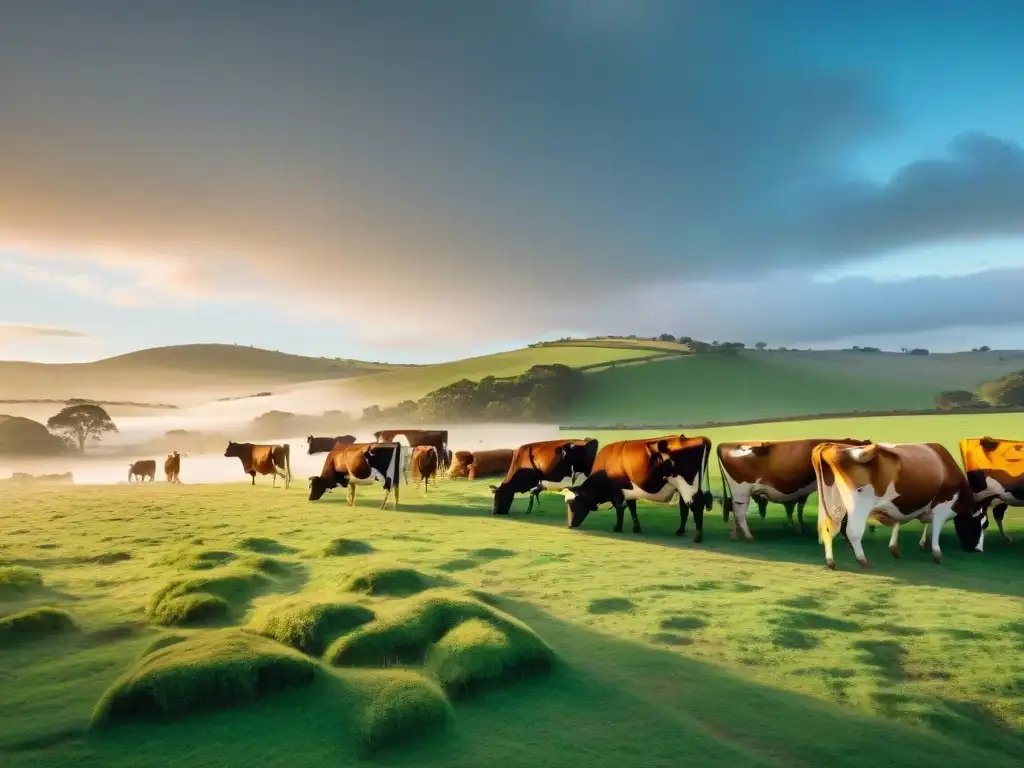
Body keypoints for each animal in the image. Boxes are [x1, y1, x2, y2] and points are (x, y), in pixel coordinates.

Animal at [716, 438, 868, 540]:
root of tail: (725, 444)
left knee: (734, 510)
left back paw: (736, 534)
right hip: (741, 491)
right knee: (739, 512)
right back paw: (748, 536)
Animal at [815, 438, 983, 573]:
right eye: (980, 523)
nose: (978, 549)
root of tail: (831, 446)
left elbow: (901, 522)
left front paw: (899, 547)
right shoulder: (943, 504)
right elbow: (936, 528)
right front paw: (937, 554)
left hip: (832, 504)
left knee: (827, 528)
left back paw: (830, 561)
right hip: (858, 505)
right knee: (853, 532)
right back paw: (862, 560)